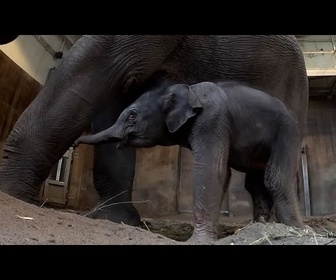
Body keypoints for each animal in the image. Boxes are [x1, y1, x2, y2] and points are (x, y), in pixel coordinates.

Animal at [74, 81, 304, 243]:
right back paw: (261, 226)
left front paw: (198, 240)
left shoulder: (212, 120)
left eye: (132, 116)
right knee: (255, 184)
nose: (75, 144)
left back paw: (297, 230)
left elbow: (211, 169)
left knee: (275, 177)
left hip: (287, 132)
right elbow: (222, 174)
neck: (187, 89)